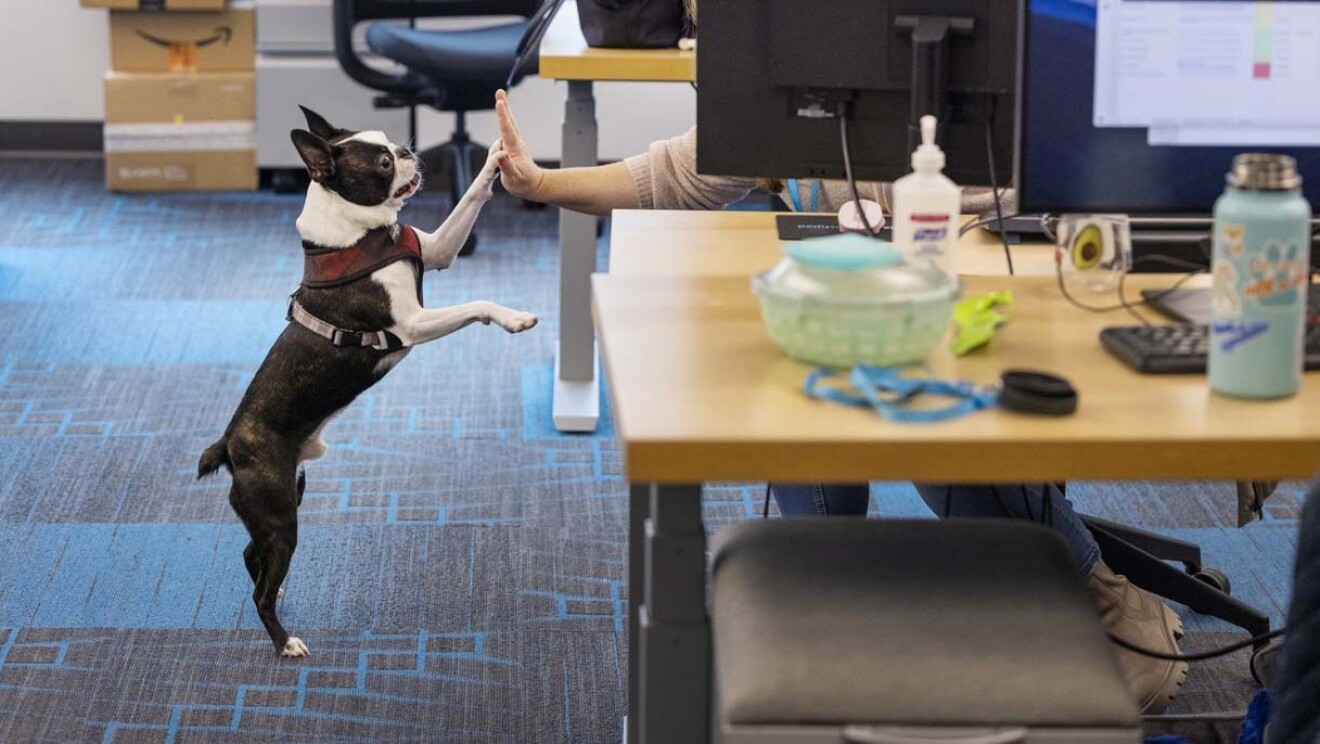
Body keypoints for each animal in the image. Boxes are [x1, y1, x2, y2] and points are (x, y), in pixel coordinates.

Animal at [196, 108, 535, 656]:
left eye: (392, 143)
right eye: (381, 163)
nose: (406, 150)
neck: (359, 234)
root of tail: (227, 444)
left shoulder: (435, 250)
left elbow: (468, 199)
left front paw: (497, 155)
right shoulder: (411, 325)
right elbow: (475, 303)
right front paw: (512, 317)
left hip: (290, 494)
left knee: (252, 556)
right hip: (279, 514)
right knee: (260, 591)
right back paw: (284, 641)